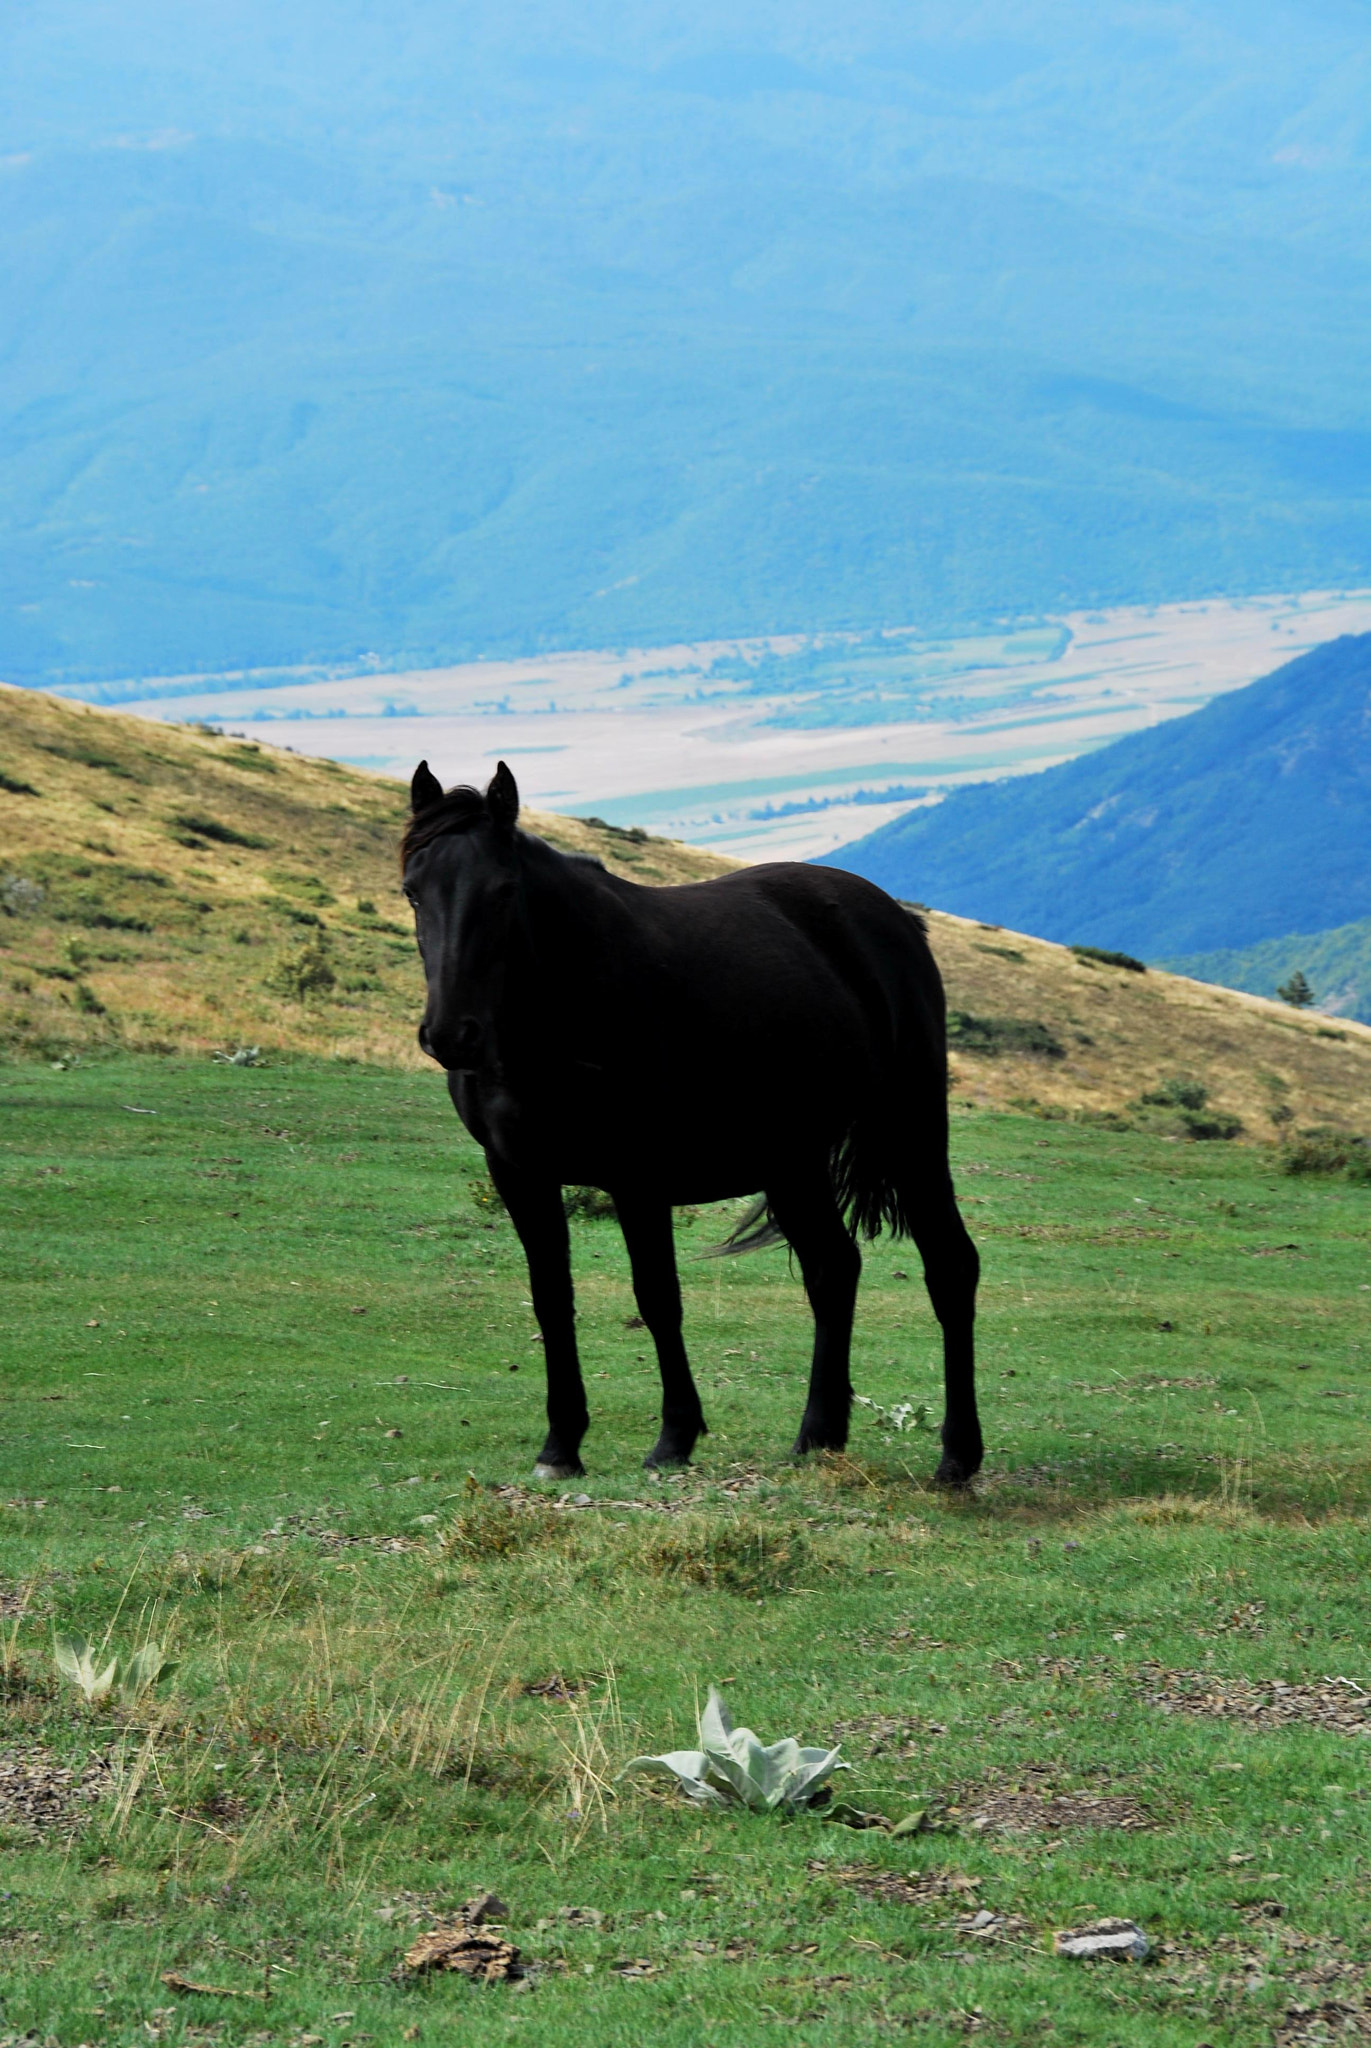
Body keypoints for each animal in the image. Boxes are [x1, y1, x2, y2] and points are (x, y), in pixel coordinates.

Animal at [401, 761, 982, 1485]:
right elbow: (551, 1300)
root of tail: (895, 920)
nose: (451, 1035)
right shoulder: (518, 1174)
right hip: (792, 1159)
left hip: (910, 1130)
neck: (560, 1008)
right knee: (832, 1269)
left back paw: (957, 1456)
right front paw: (560, 1446)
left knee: (949, 1266)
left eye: (503, 892)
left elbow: (657, 1297)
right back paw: (817, 1437)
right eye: (412, 891)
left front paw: (673, 1437)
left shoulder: (636, 1176)